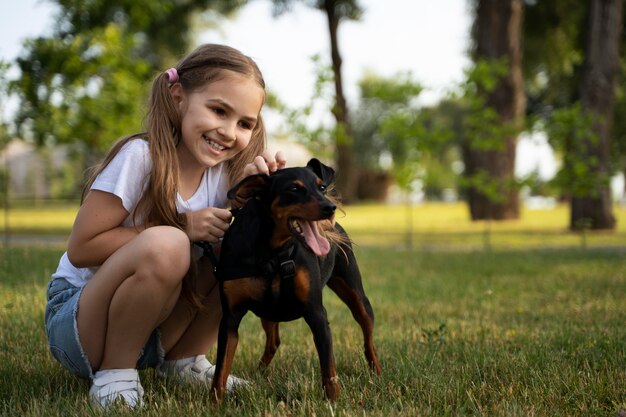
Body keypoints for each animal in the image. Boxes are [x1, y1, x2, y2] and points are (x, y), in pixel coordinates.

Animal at [208, 158, 380, 402]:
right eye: (294, 189)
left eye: (321, 187)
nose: (330, 208)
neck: (270, 251)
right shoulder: (230, 318)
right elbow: (221, 370)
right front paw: (214, 403)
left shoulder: (316, 312)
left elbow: (329, 367)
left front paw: (333, 401)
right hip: (268, 312)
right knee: (273, 341)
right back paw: (260, 373)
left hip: (357, 296)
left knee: (368, 338)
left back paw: (377, 372)